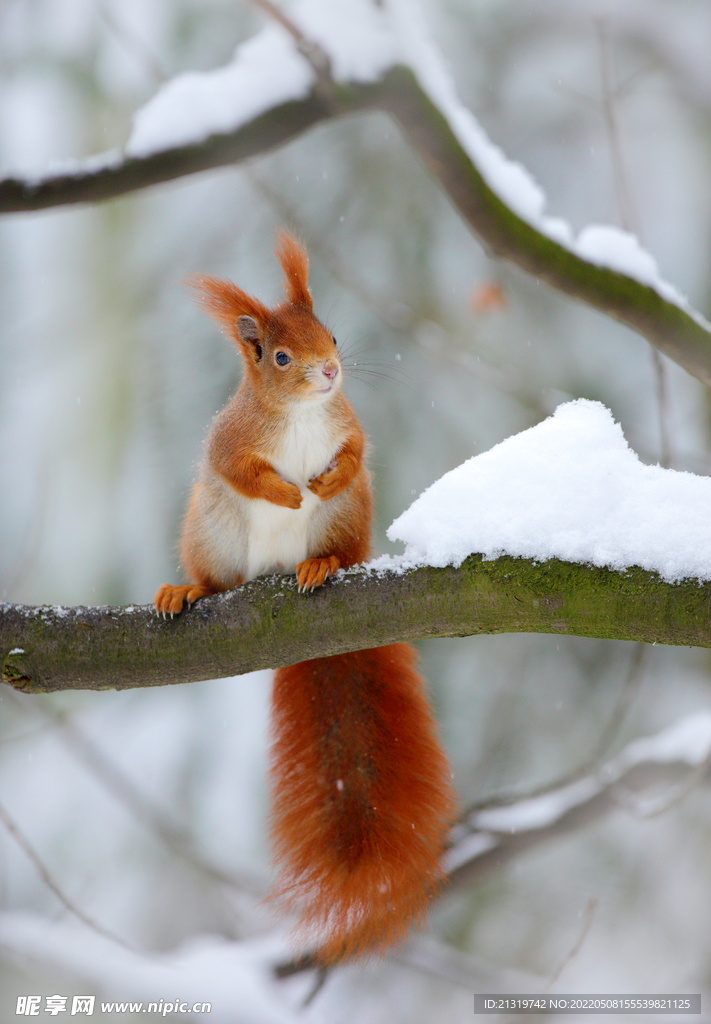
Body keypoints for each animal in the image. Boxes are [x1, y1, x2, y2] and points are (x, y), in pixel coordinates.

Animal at [153, 232, 458, 958]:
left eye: (333, 333)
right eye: (281, 356)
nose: (330, 373)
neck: (301, 415)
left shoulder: (349, 426)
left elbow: (354, 453)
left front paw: (318, 482)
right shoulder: (231, 441)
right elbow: (243, 469)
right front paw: (286, 492)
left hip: (346, 524)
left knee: (339, 546)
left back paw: (320, 566)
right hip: (213, 534)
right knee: (217, 580)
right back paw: (185, 589)